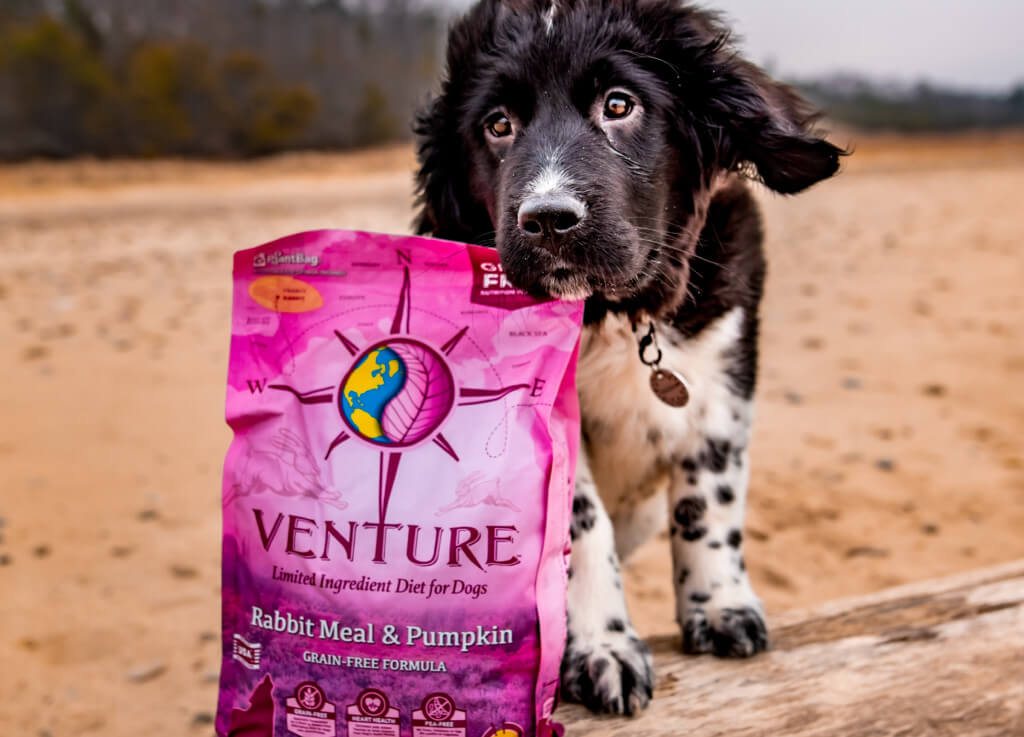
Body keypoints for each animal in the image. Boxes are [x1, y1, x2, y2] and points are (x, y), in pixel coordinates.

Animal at [411, 0, 843, 716]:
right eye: (498, 125)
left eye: (619, 104)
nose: (547, 219)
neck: (616, 315)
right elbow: (581, 529)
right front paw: (602, 649)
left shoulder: (724, 377)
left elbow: (710, 498)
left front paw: (719, 606)